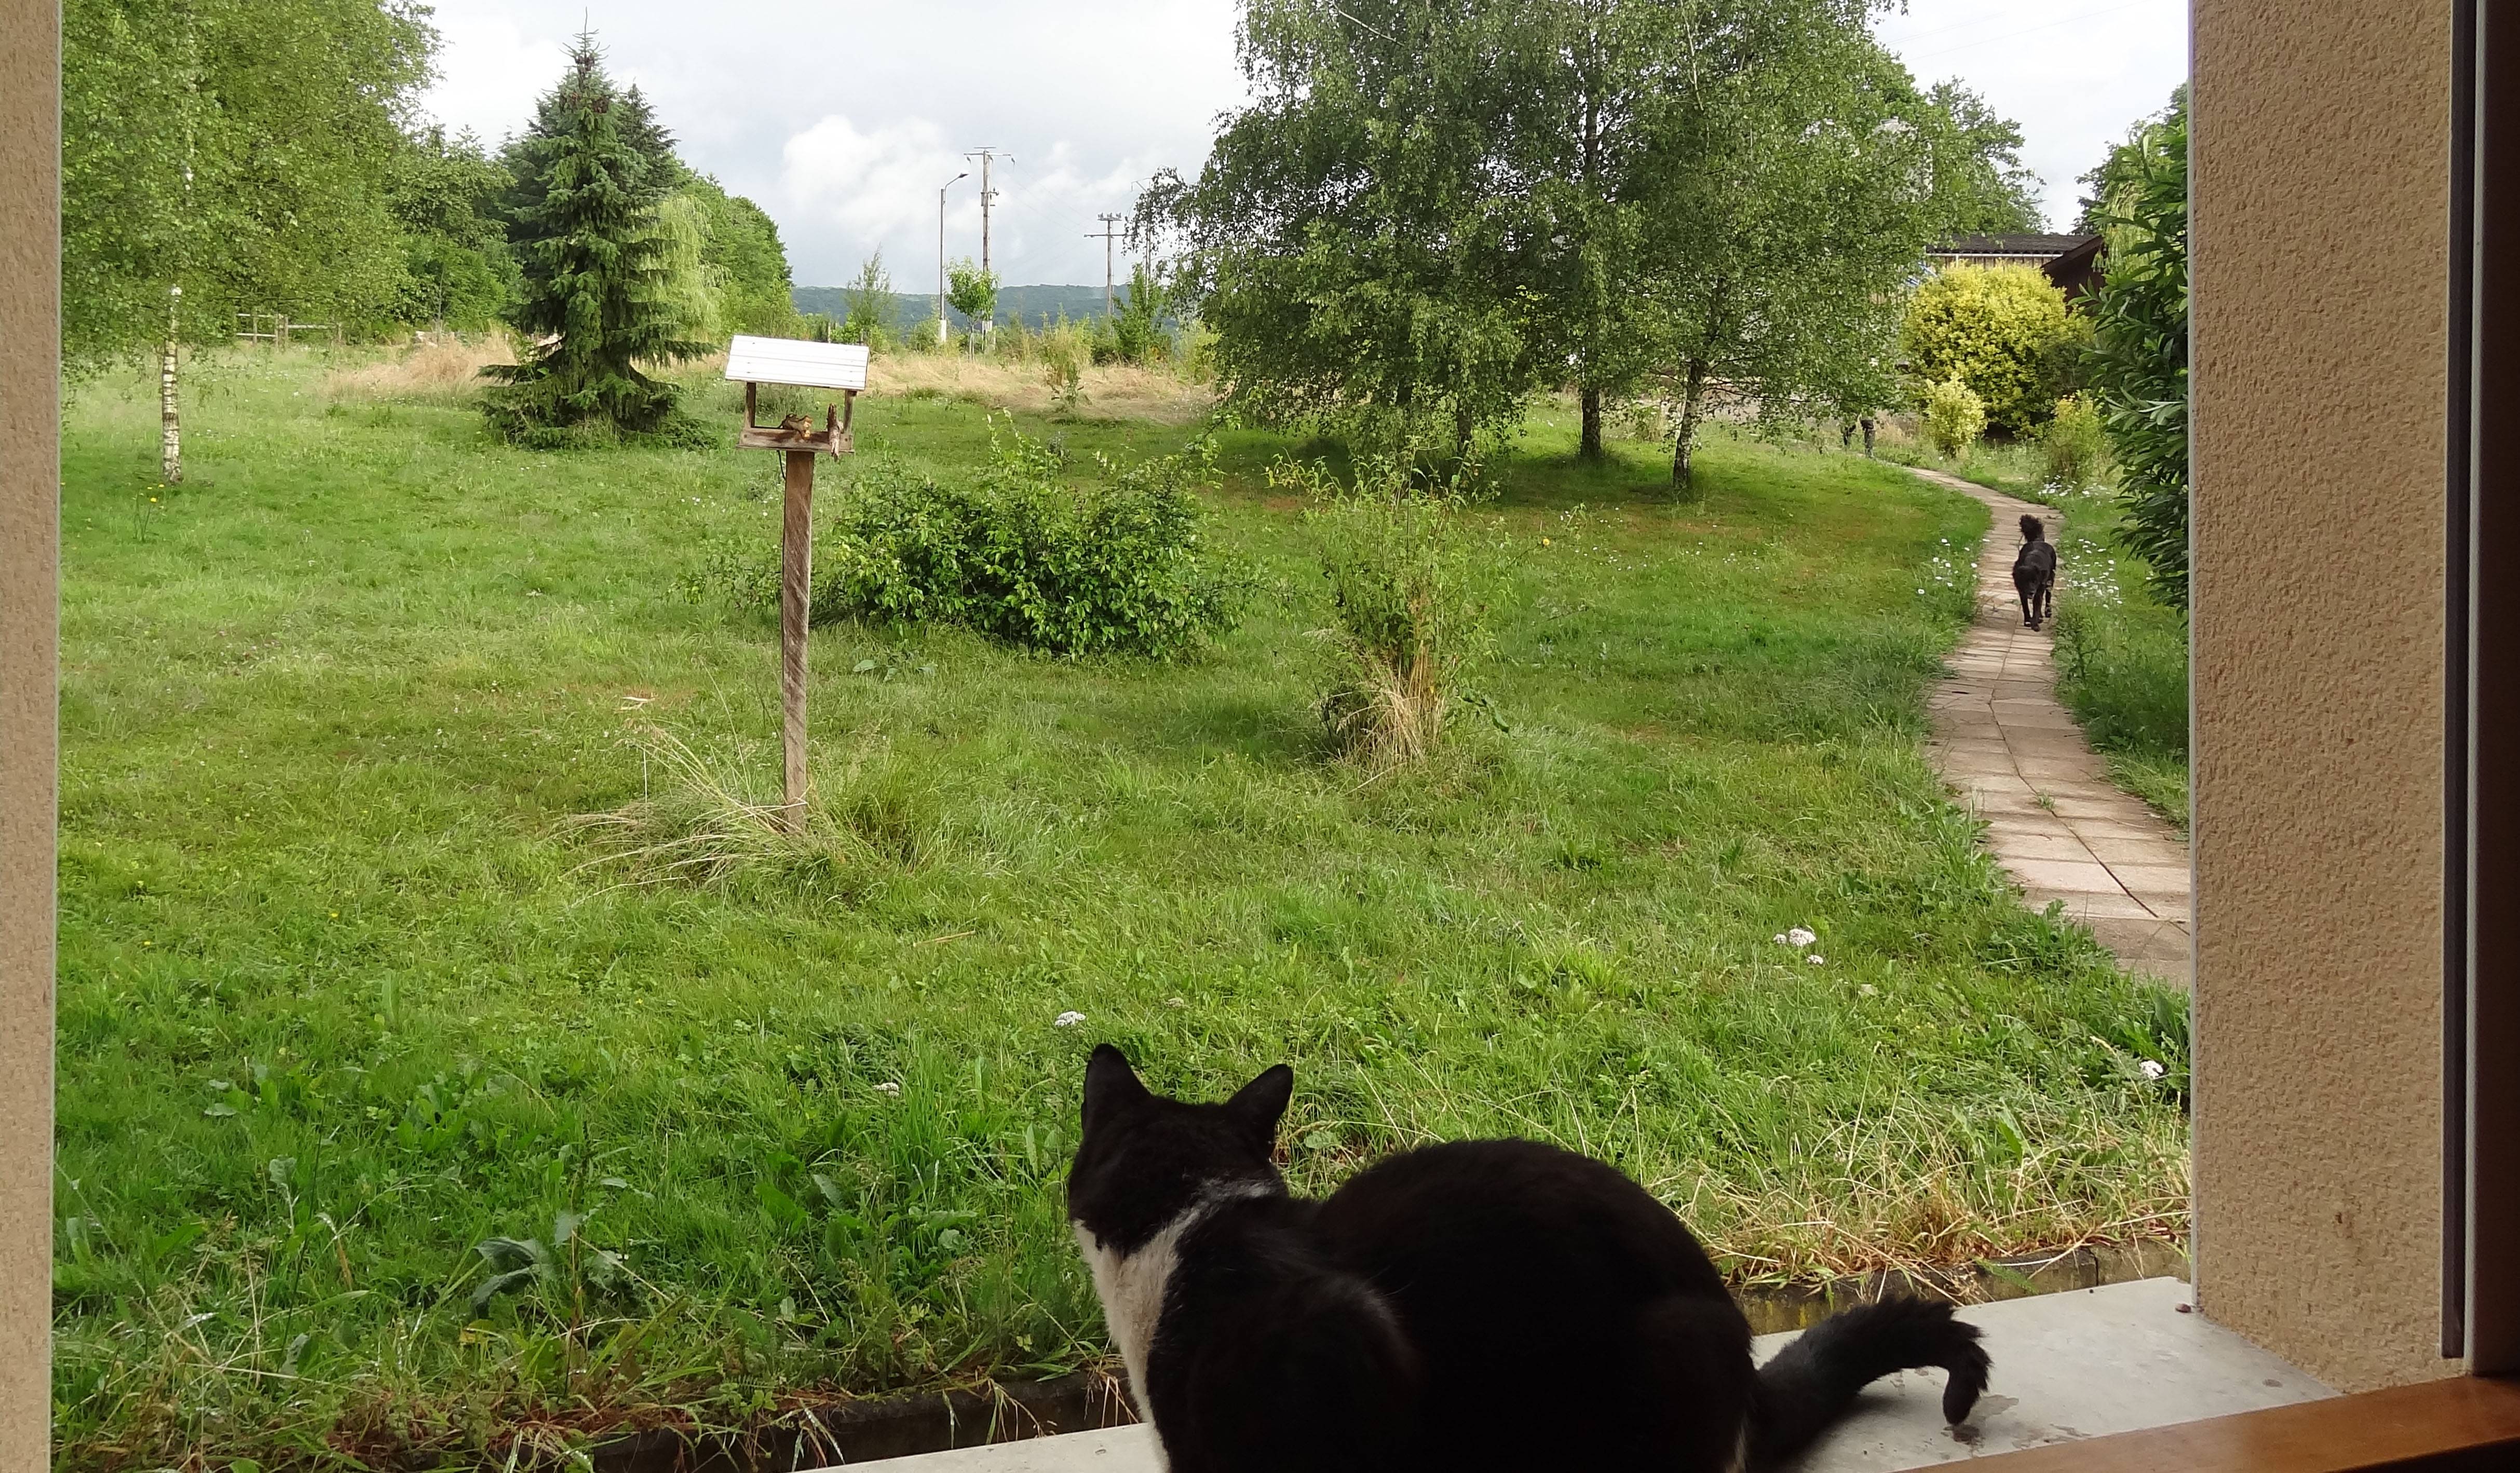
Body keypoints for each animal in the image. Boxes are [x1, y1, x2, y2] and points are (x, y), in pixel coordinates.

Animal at [2016, 513, 2056, 629]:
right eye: (2026, 581)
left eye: (2035, 581)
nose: (2031, 592)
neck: (2032, 563)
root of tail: (2039, 540)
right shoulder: (2022, 591)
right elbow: (2025, 606)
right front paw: (2028, 621)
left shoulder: (2039, 588)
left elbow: (2037, 607)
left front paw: (2035, 624)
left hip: (2050, 581)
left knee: (2048, 596)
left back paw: (2047, 613)